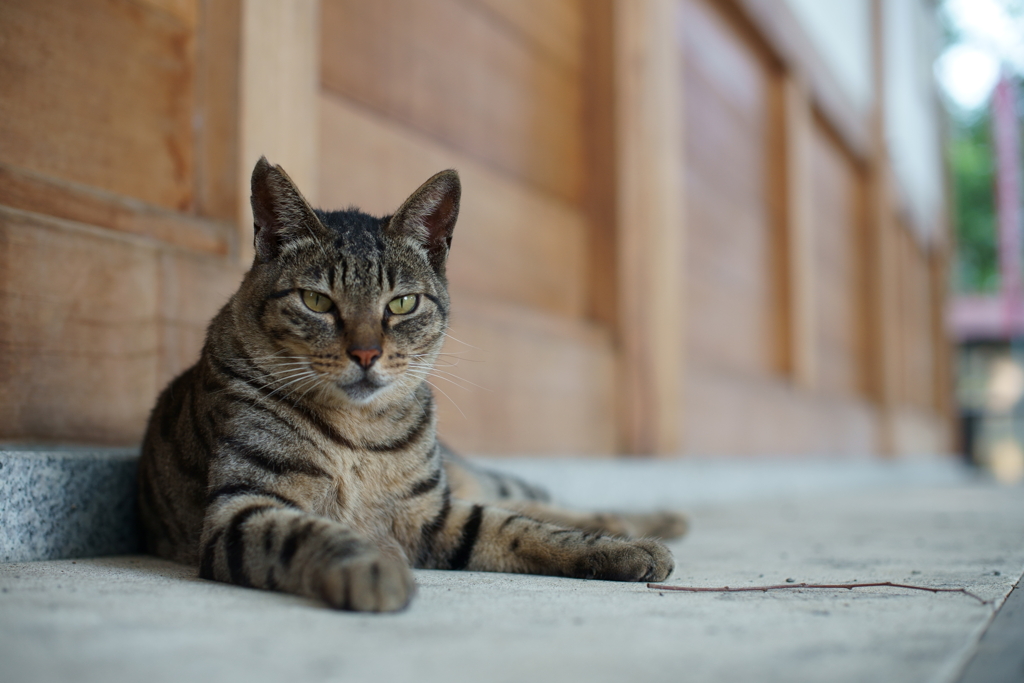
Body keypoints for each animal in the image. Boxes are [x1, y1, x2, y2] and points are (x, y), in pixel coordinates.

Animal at [134, 157, 679, 610]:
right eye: (316, 301)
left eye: (401, 303)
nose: (366, 353)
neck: (356, 431)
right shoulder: (241, 510)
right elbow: (308, 533)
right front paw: (372, 567)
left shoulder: (432, 513)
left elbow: (520, 529)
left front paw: (627, 550)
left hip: (463, 478)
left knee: (528, 498)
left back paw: (648, 521)